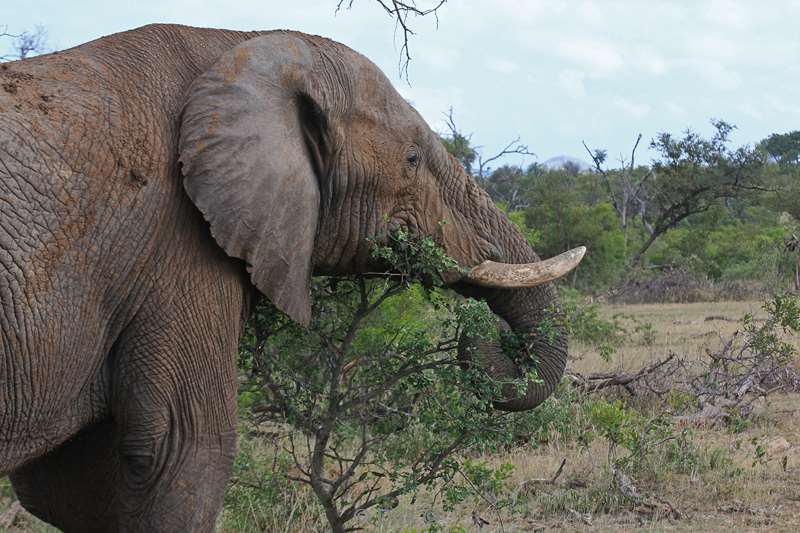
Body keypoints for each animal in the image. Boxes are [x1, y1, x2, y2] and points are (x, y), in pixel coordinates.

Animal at [0, 25, 580, 532]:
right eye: (413, 159)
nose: (483, 337)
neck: (239, 48)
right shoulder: (178, 248)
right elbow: (182, 451)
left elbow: (68, 487)